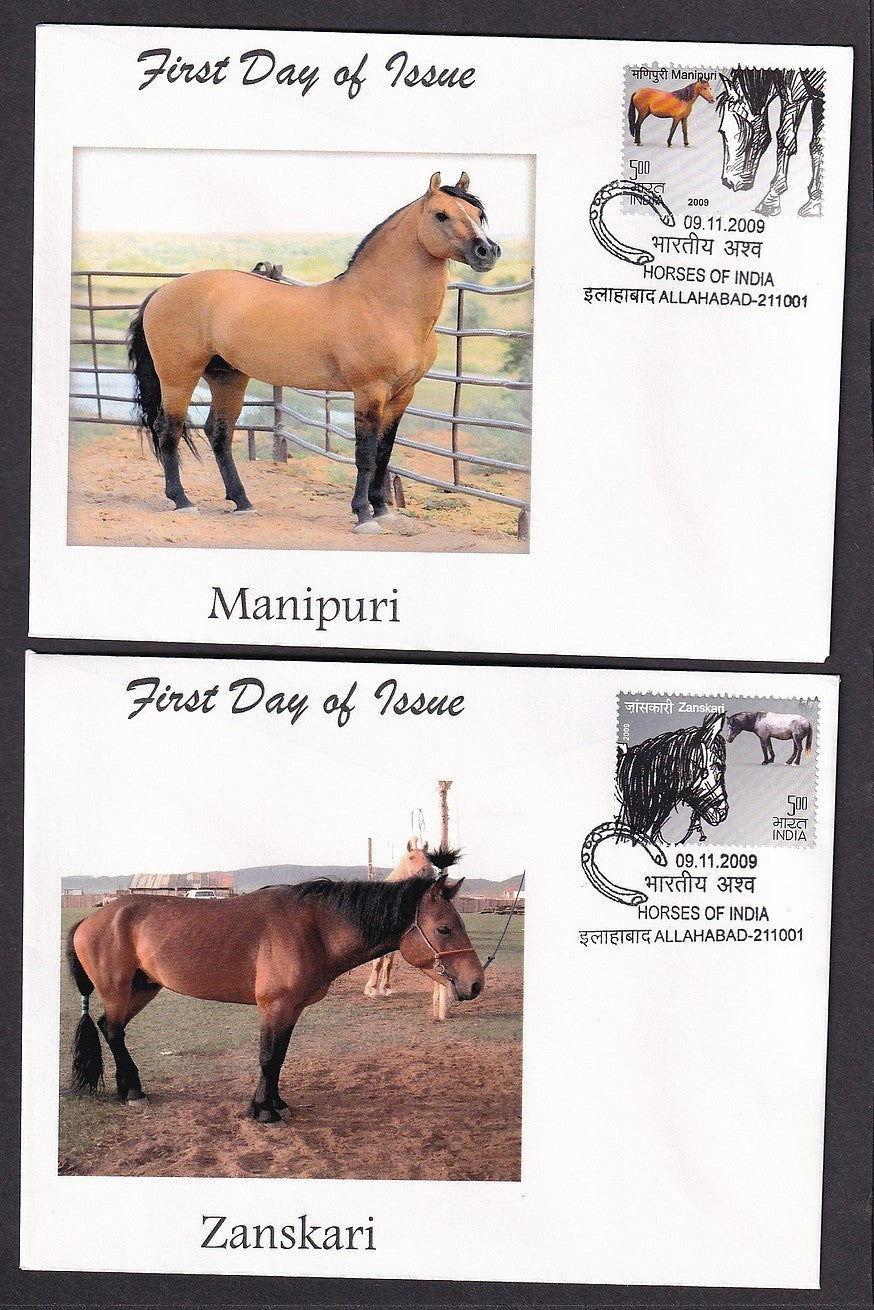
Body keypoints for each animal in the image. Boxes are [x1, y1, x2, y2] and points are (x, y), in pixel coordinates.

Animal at [67, 873, 484, 1122]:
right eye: (444, 928)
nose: (476, 983)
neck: (315, 929)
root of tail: (93, 918)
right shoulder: (275, 1007)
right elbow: (268, 1057)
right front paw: (264, 1112)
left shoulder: (290, 1010)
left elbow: (279, 1058)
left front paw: (275, 1102)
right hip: (119, 990)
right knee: (113, 1031)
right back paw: (134, 1091)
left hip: (143, 988)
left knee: (108, 1028)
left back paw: (127, 1087)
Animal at [126, 171, 500, 533]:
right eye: (441, 215)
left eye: (478, 214)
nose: (488, 251)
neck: (382, 304)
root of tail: (161, 292)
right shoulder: (370, 391)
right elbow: (365, 454)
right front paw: (364, 516)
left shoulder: (402, 395)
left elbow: (384, 451)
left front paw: (383, 511)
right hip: (179, 377)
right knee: (169, 429)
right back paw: (183, 501)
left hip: (227, 376)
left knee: (219, 433)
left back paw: (242, 502)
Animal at [716, 68, 825, 216]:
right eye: (722, 132)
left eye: (740, 131)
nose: (728, 182)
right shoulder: (803, 95)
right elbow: (808, 143)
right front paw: (814, 201)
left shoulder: (805, 96)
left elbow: (795, 140)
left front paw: (771, 200)